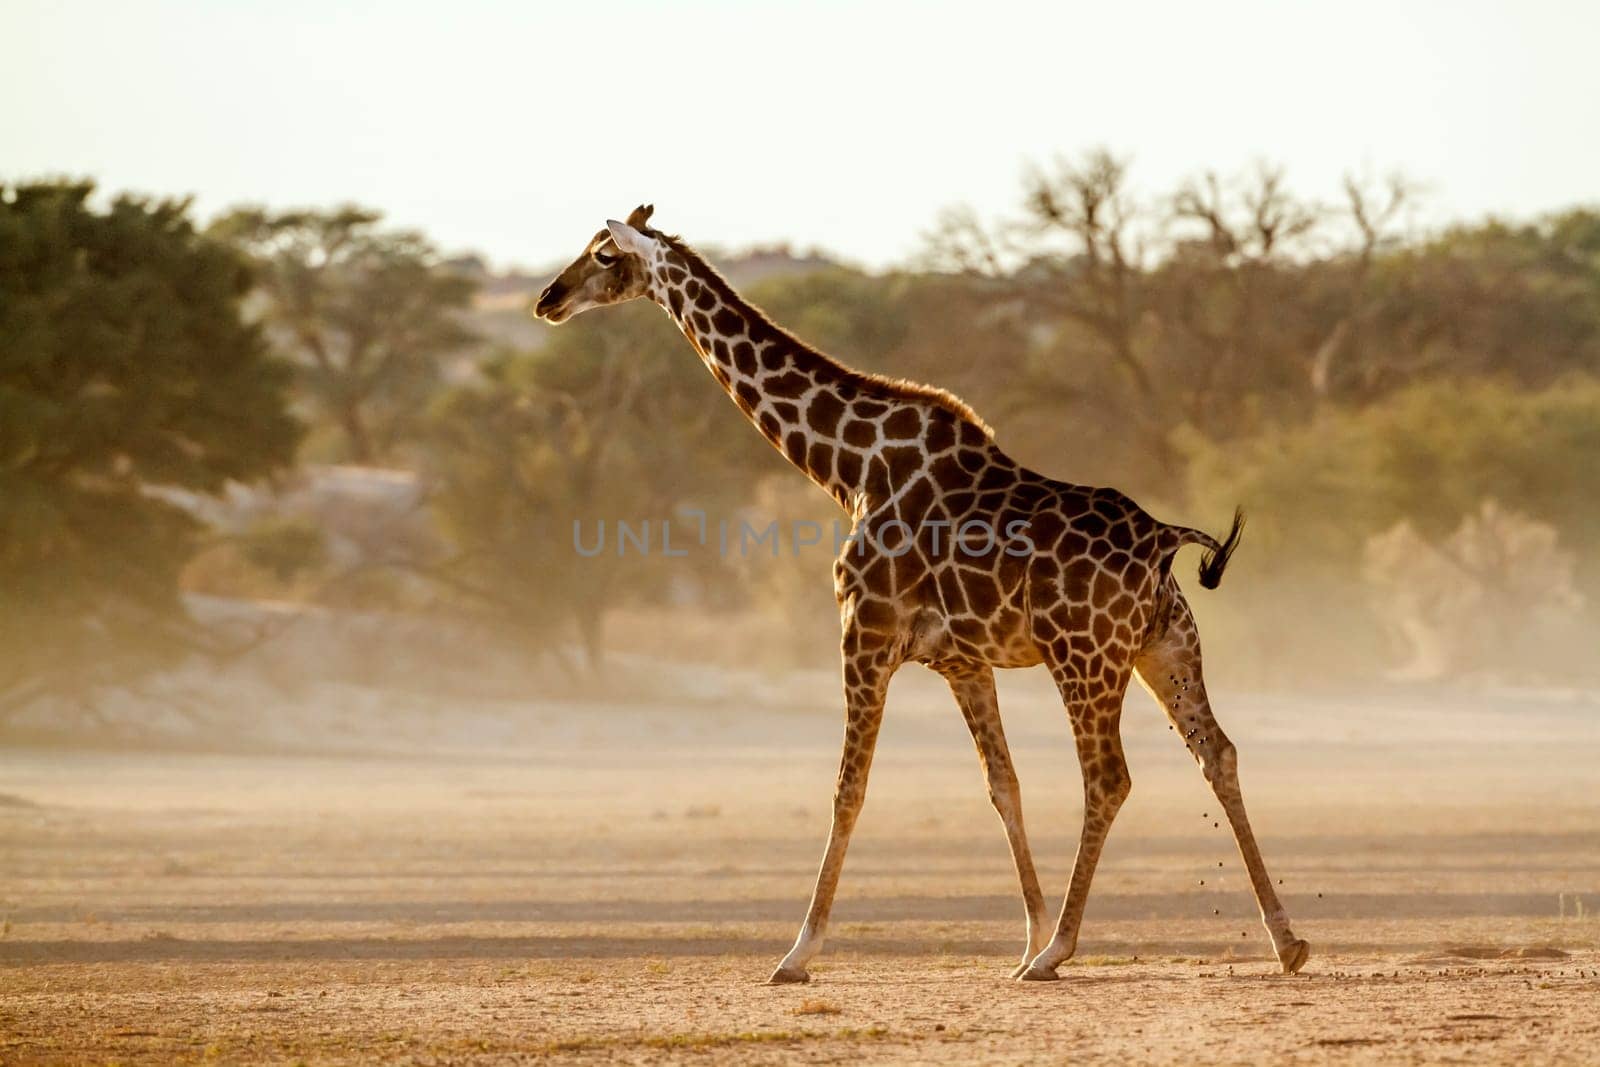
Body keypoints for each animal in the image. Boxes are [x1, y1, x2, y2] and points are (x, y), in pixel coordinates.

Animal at [537, 206, 1312, 985]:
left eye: (602, 255)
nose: (548, 299)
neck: (851, 468)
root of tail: (1162, 541)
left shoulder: (865, 634)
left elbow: (847, 789)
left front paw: (798, 953)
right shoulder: (960, 661)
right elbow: (1003, 785)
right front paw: (1026, 934)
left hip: (1084, 656)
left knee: (1109, 778)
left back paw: (1061, 950)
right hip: (1166, 646)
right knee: (1218, 754)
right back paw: (1285, 940)